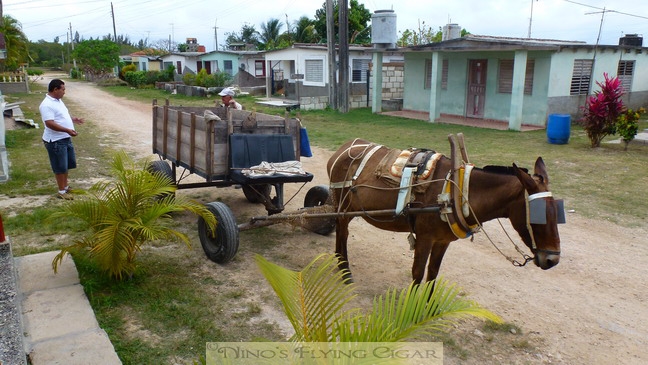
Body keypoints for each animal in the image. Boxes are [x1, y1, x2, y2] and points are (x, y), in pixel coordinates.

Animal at [330, 138, 560, 282]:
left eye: (557, 212)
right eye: (538, 213)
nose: (553, 260)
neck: (456, 194)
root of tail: (344, 148)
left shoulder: (443, 241)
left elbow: (433, 272)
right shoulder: (424, 238)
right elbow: (417, 272)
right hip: (343, 207)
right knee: (343, 231)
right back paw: (344, 269)